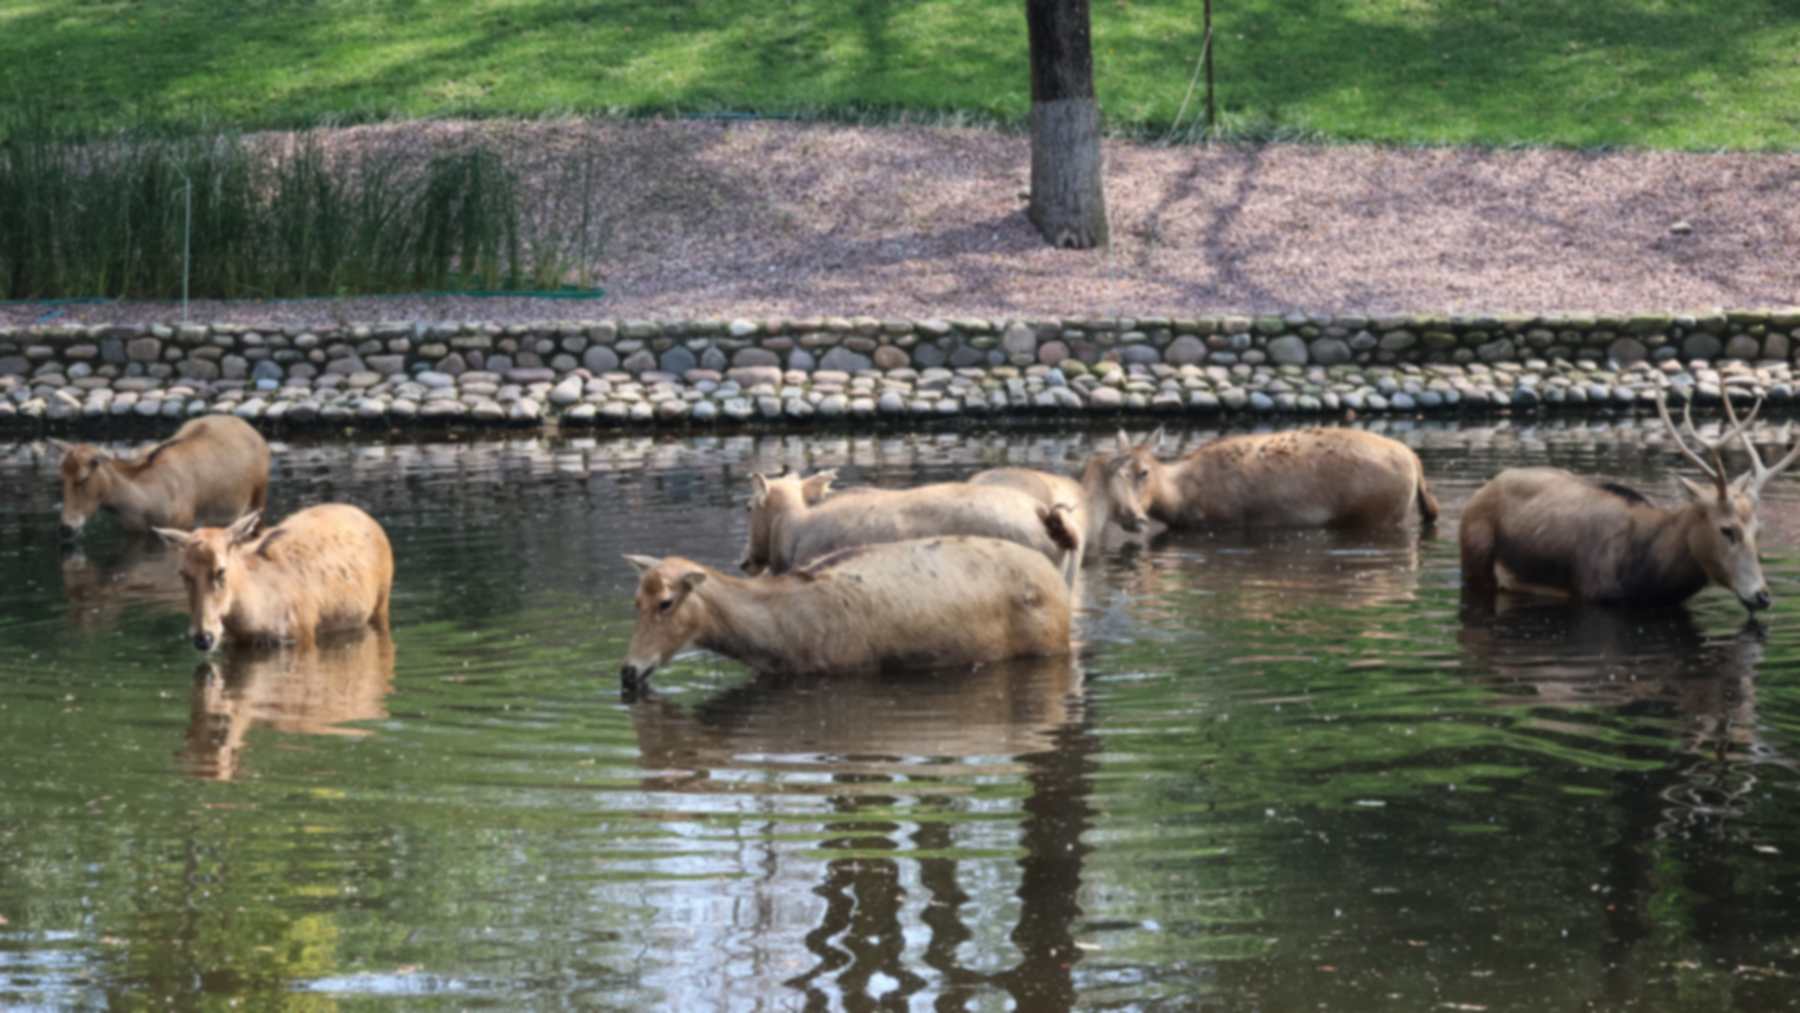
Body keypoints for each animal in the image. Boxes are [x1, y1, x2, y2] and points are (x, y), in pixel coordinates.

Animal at [52, 414, 270, 539]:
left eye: (82, 478)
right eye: (61, 477)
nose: (66, 527)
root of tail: (254, 431)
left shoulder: (182, 526)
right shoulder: (133, 532)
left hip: (258, 501)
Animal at [1117, 426, 1439, 529]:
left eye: (1144, 472)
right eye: (1115, 474)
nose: (1130, 515)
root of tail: (1415, 460)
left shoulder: (1226, 521)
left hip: (1379, 515)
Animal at [1459, 391, 1799, 611]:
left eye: (1759, 530)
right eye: (1727, 529)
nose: (1762, 595)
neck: (1648, 578)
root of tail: (1481, 491)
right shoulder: (1591, 593)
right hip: (1475, 564)